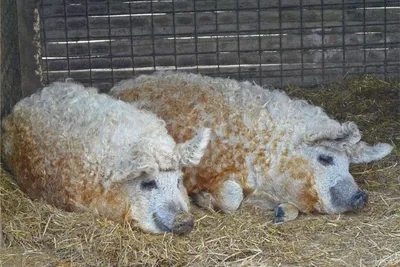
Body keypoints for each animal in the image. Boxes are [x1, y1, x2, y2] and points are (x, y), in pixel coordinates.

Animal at [110, 71, 394, 224]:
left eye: (349, 165)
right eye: (325, 158)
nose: (362, 195)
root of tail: (118, 86)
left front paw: (280, 214)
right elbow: (232, 196)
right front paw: (204, 199)